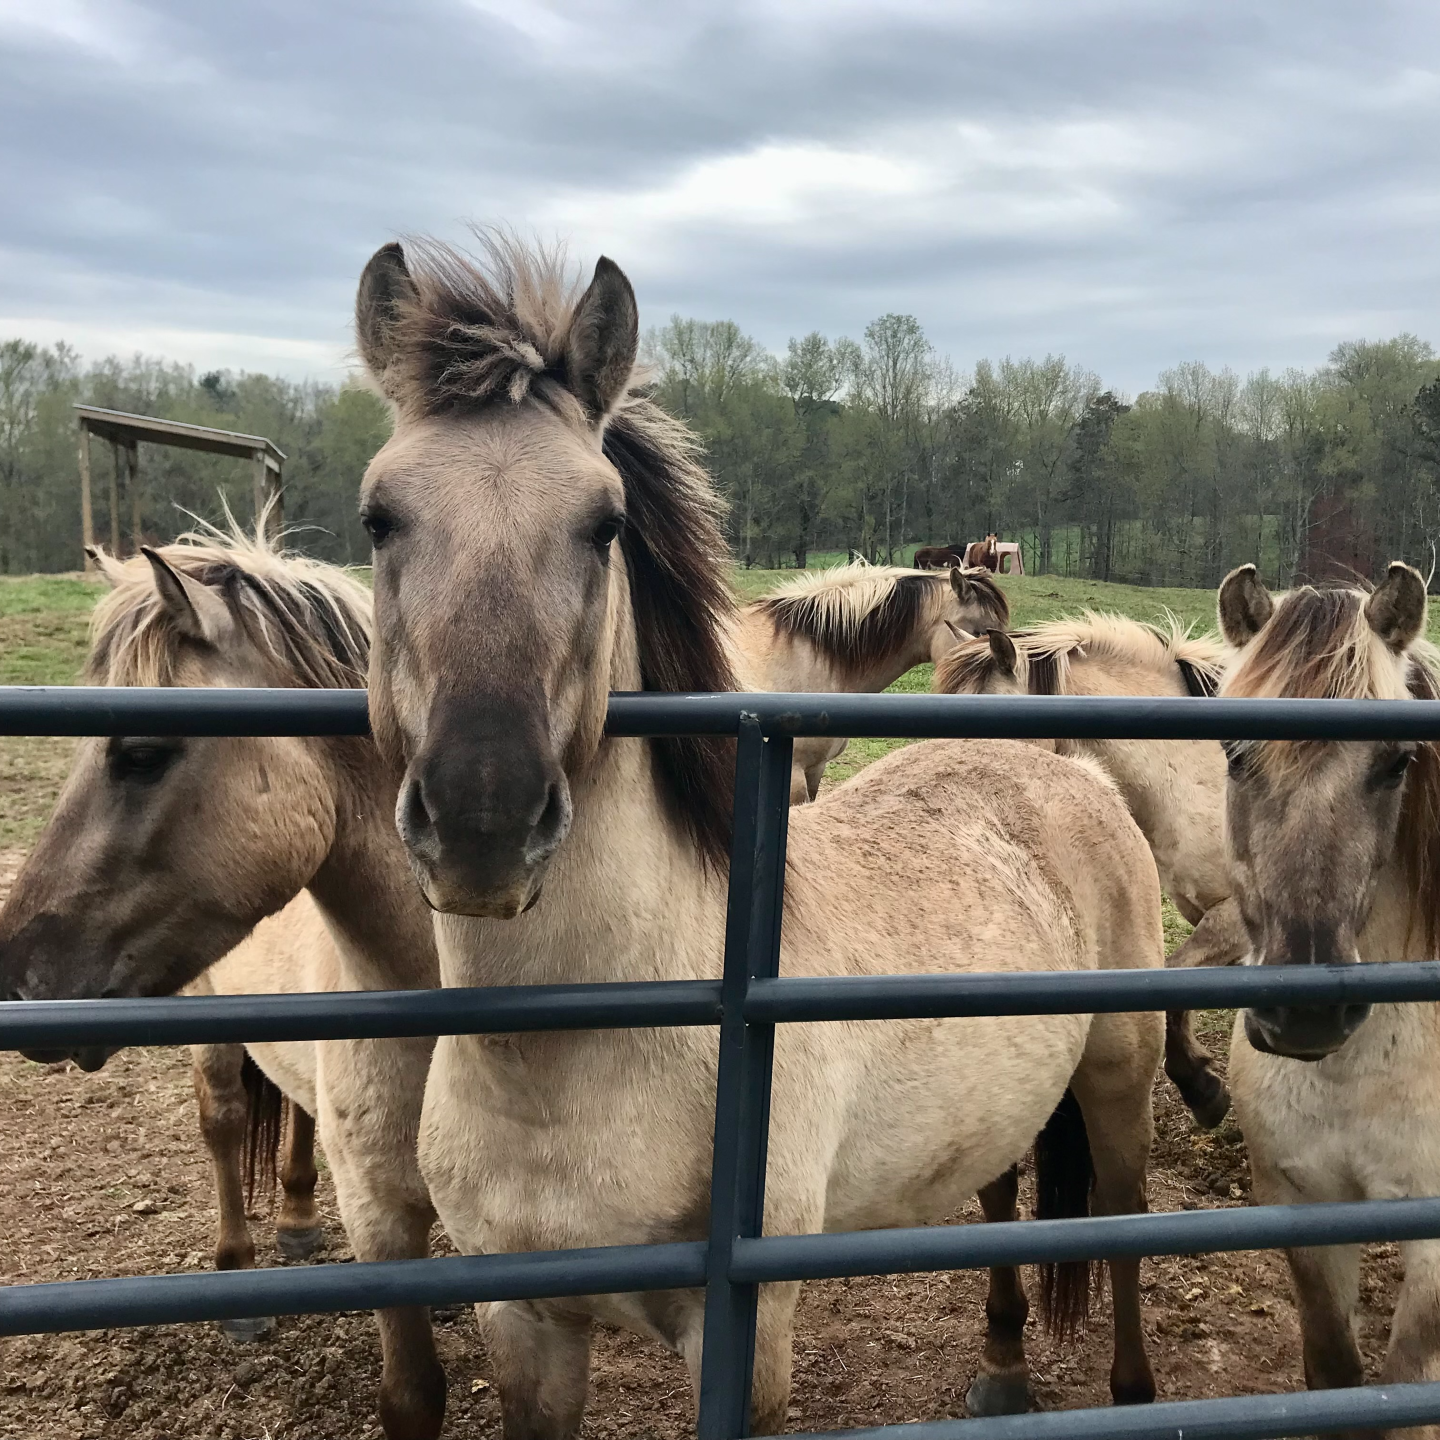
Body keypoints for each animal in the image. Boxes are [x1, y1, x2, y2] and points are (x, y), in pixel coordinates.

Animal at [0, 532, 448, 1440]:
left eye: (140, 753)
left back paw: (300, 1223)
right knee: (225, 1119)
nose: (19, 980)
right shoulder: (385, 1217)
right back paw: (241, 1278)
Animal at [1218, 561, 1440, 1434]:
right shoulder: (1303, 1204)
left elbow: (1407, 1389)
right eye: (1233, 754)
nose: (1306, 1011)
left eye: (1397, 763)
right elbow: (1337, 1374)